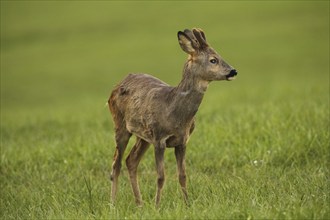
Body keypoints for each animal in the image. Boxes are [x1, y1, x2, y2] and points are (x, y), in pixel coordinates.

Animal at [108, 27, 237, 206]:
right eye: (213, 60)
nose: (233, 71)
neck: (174, 112)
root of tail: (116, 85)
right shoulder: (159, 139)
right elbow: (161, 177)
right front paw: (157, 206)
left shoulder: (182, 141)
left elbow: (182, 175)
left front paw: (187, 204)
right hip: (120, 124)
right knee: (116, 164)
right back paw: (113, 204)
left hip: (143, 136)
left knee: (131, 161)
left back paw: (140, 204)